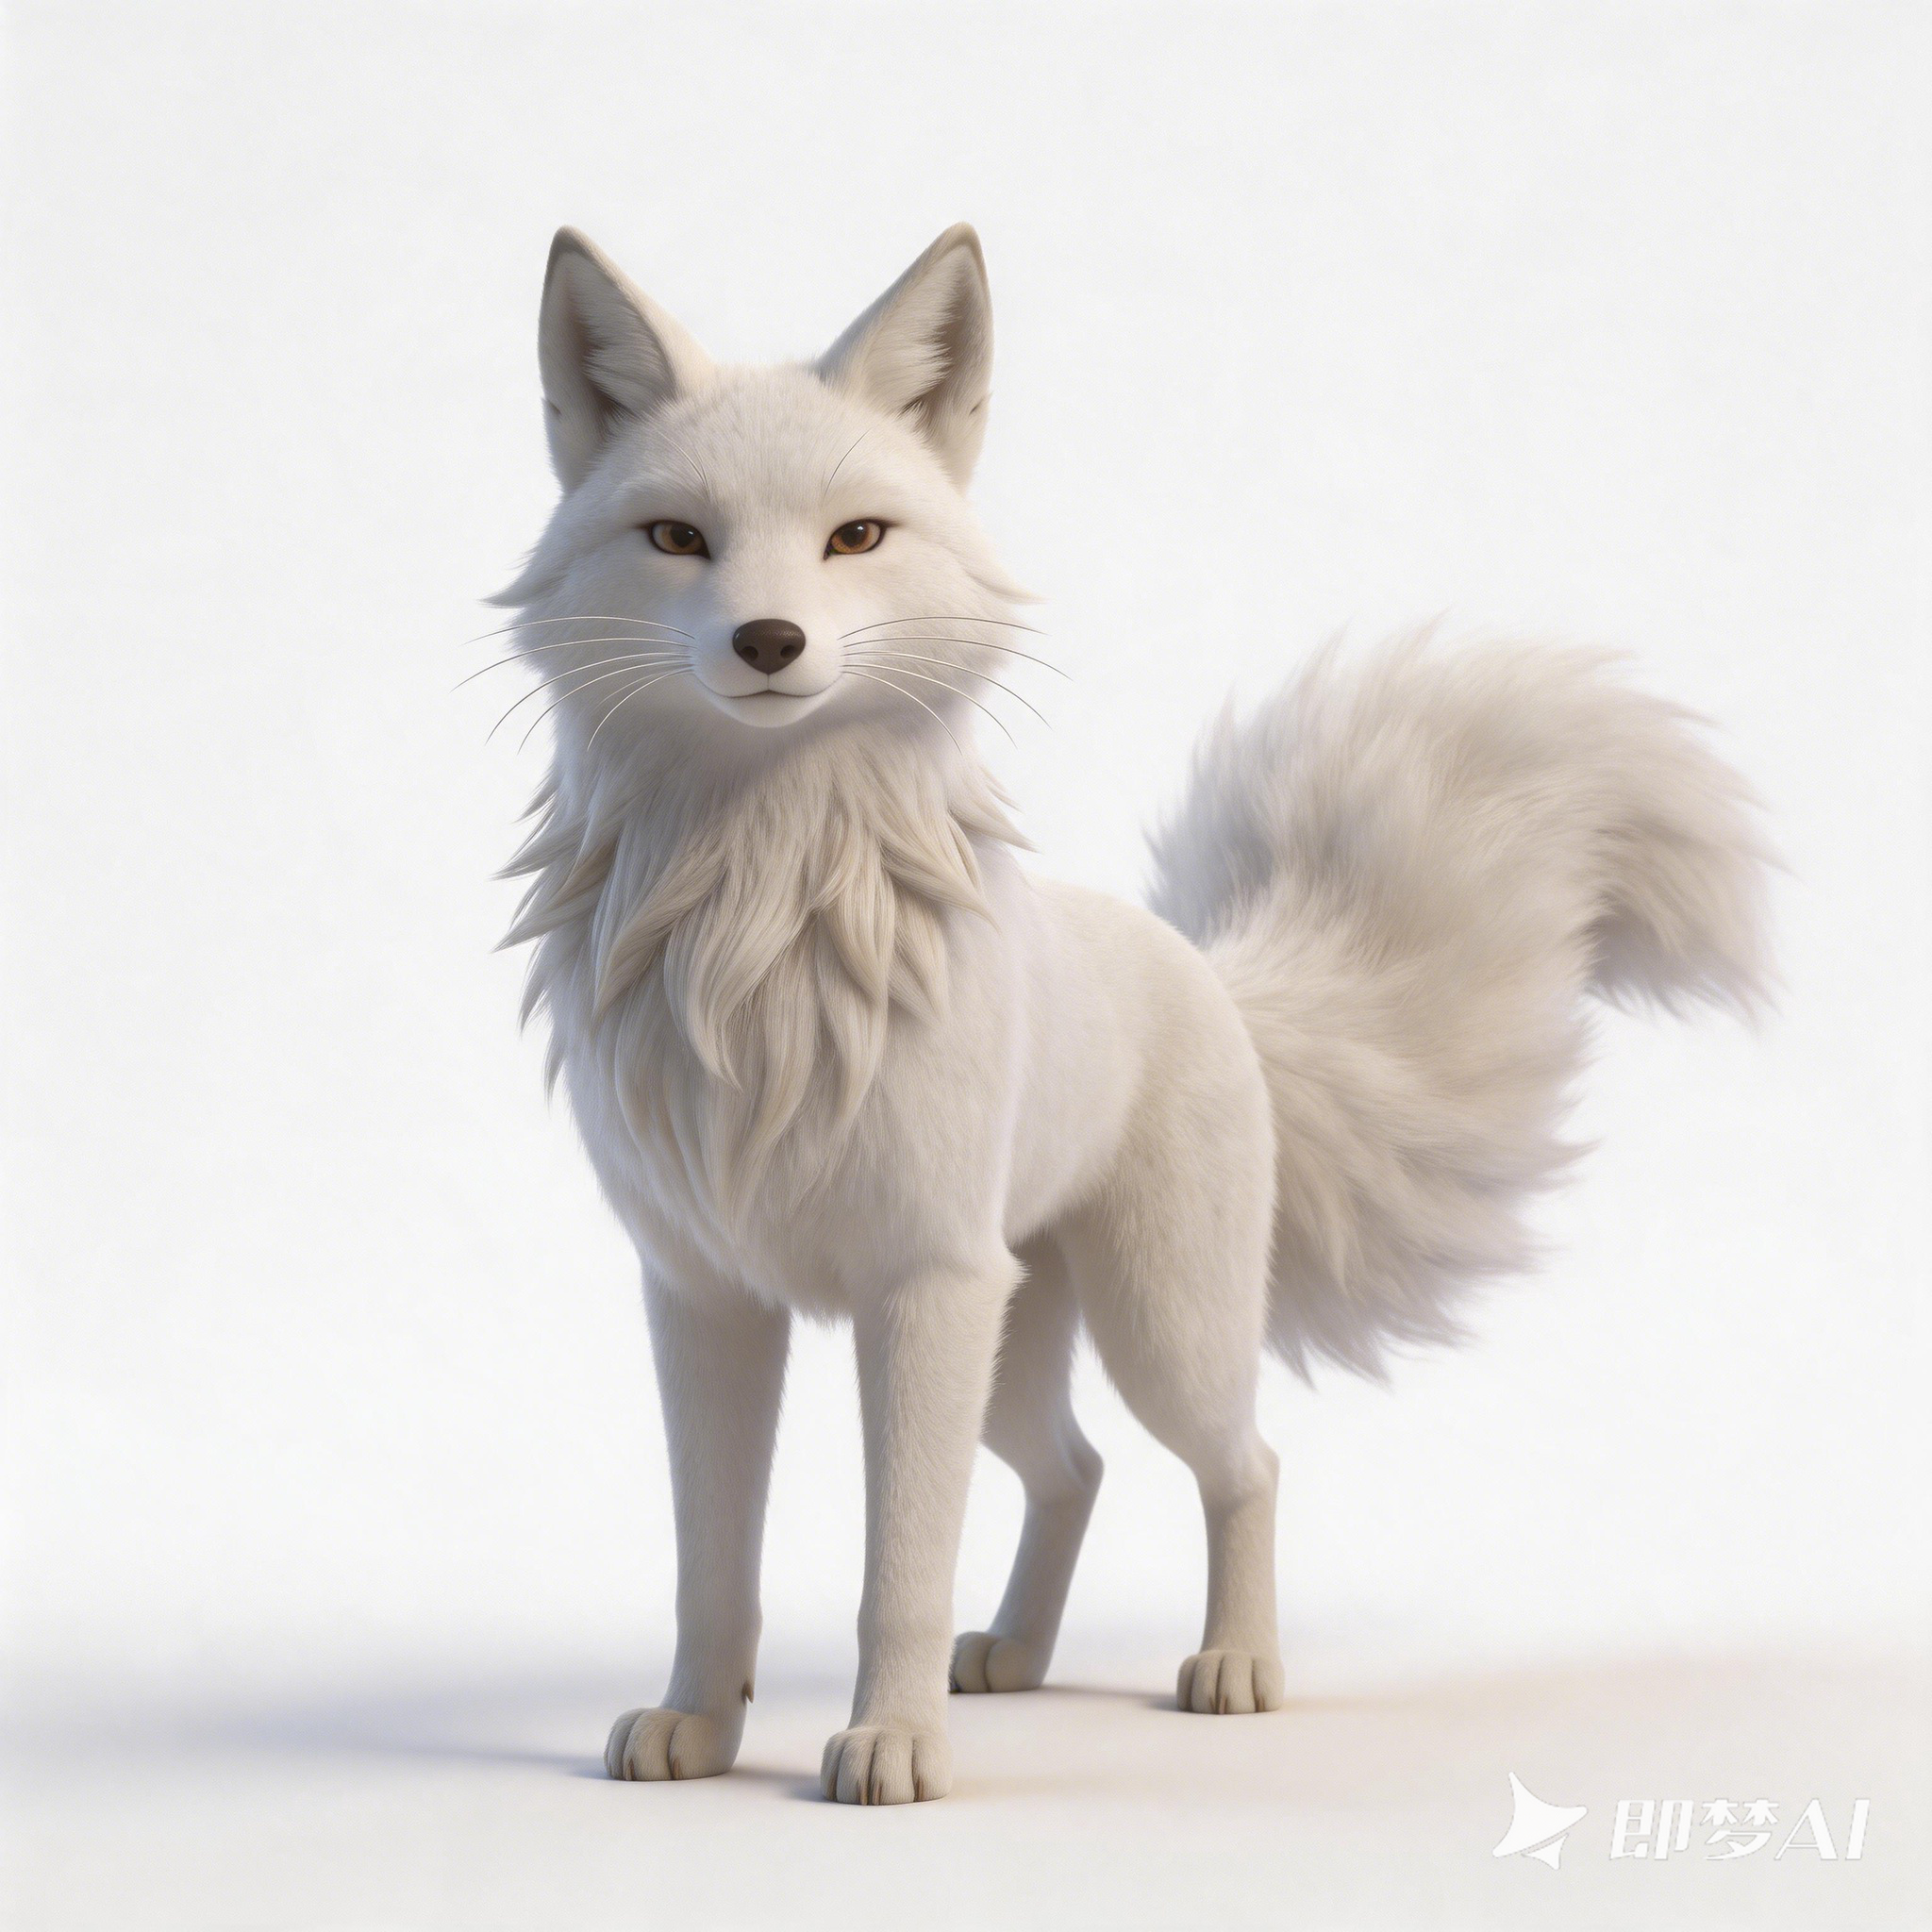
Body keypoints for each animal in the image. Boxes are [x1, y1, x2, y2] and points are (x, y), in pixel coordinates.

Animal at [489, 223, 1771, 1804]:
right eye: (677, 539)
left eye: (856, 537)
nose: (770, 640)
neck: (761, 923)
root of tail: (1205, 972)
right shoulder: (709, 1297)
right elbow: (711, 1567)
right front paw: (701, 1729)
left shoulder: (921, 1288)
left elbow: (897, 1567)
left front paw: (891, 1747)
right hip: (1015, 1339)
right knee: (1078, 1466)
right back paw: (1014, 1658)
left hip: (1158, 1329)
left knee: (1244, 1464)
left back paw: (1232, 1670)